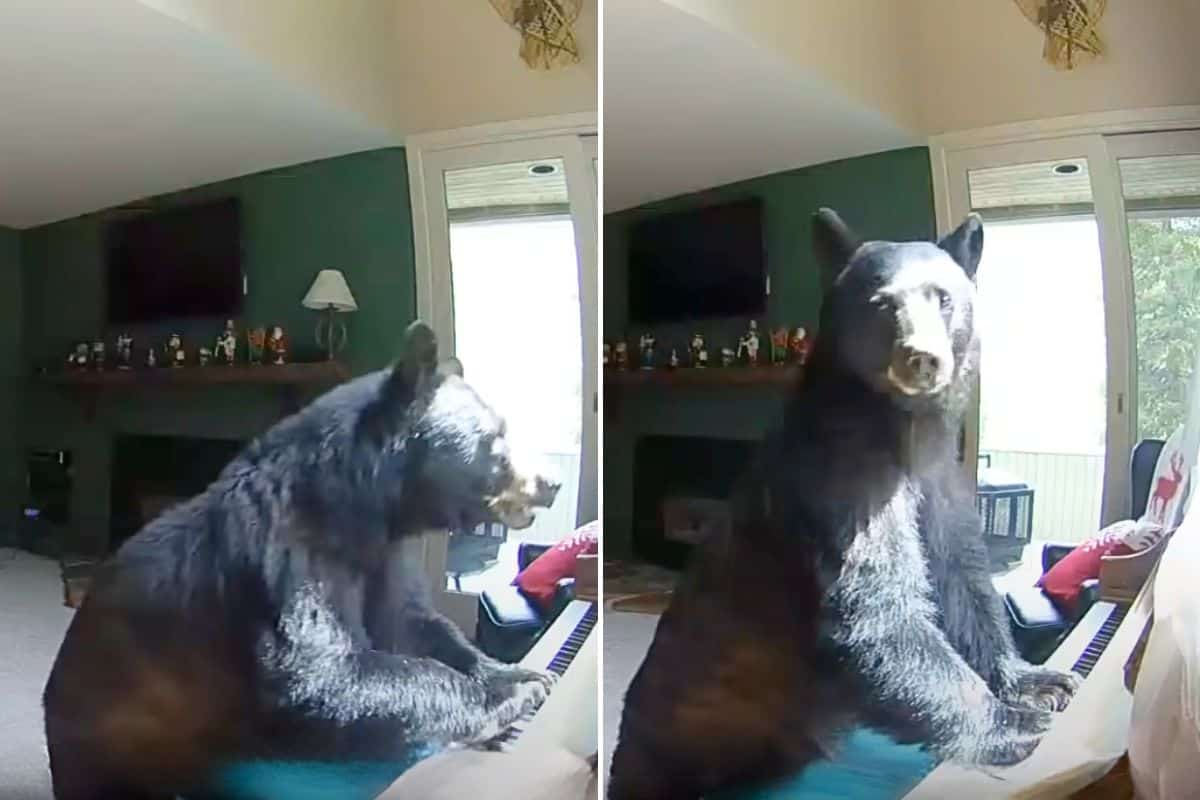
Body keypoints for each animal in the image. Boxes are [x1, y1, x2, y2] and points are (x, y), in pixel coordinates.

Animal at [43, 321, 561, 800]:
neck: (361, 510)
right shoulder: (286, 561)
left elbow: (415, 624)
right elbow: (320, 675)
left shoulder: (386, 558)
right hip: (118, 739)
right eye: (496, 438)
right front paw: (511, 695)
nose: (551, 482)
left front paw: (522, 672)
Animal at [606, 210, 1079, 800]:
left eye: (944, 297)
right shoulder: (842, 483)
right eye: (881, 302)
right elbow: (876, 613)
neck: (904, 432)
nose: (922, 358)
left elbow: (963, 583)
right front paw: (1014, 722)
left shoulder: (940, 485)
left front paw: (1039, 681)